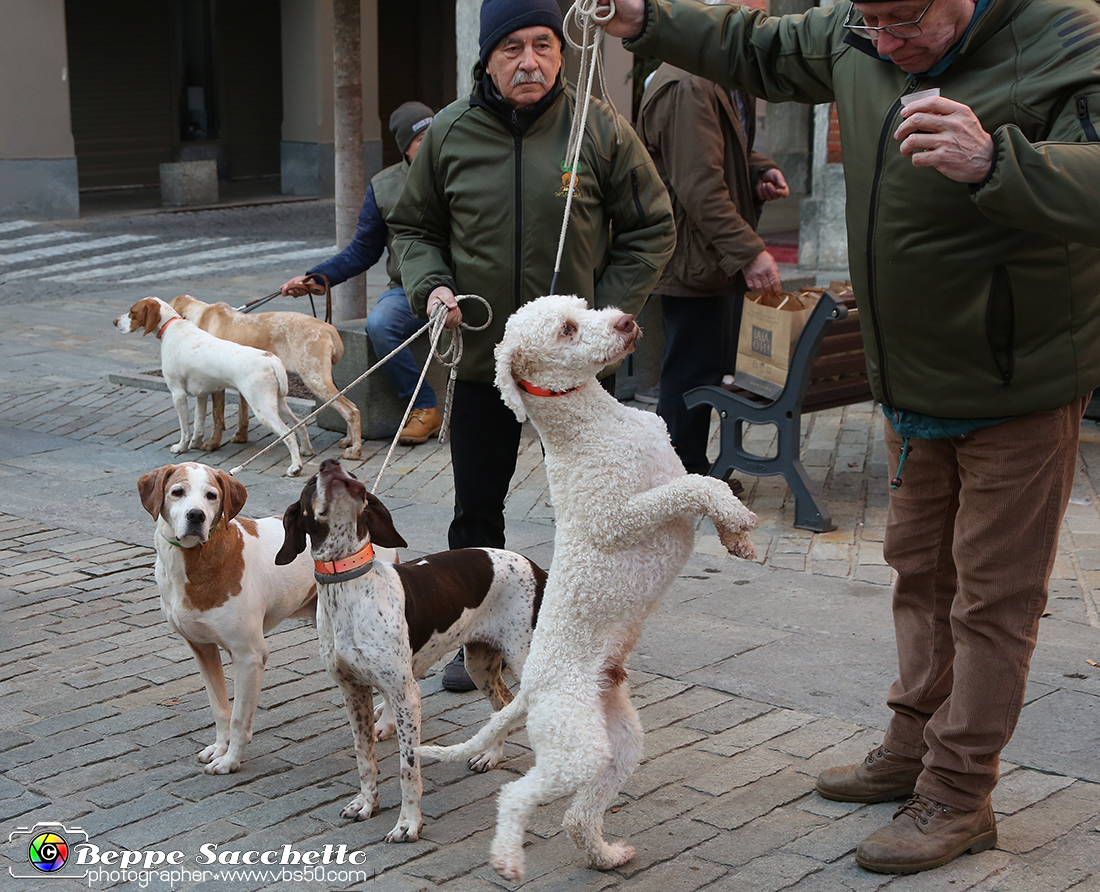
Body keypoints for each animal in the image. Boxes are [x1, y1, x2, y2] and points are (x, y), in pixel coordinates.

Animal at [277, 459, 543, 844]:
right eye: (312, 481)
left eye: (352, 476)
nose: (331, 463)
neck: (350, 587)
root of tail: (536, 567)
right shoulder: (353, 692)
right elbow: (364, 756)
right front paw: (366, 803)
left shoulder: (406, 696)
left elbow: (408, 769)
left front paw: (408, 824)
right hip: (479, 664)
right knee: (504, 706)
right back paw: (490, 757)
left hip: (527, 661)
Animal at [415, 296, 761, 884]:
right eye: (567, 330)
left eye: (582, 305)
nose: (626, 322)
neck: (600, 422)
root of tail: (531, 689)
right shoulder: (624, 513)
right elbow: (699, 483)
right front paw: (736, 519)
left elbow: (708, 481)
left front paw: (736, 536)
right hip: (573, 747)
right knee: (517, 795)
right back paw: (508, 857)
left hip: (615, 747)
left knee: (578, 816)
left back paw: (605, 855)